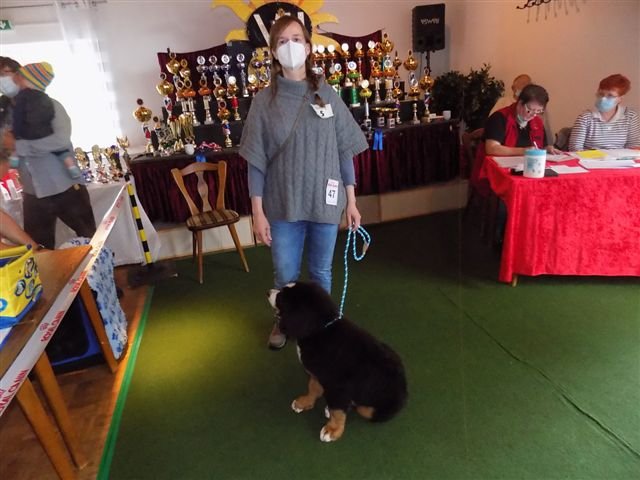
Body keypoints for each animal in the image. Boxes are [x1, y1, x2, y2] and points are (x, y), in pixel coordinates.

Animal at [268, 281, 407, 442]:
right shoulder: (318, 373)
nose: (268, 292)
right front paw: (304, 402)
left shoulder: (339, 385)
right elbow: (313, 387)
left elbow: (338, 412)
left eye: (282, 296)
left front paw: (333, 430)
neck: (319, 330)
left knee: (361, 408)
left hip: (375, 407)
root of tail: (405, 390)